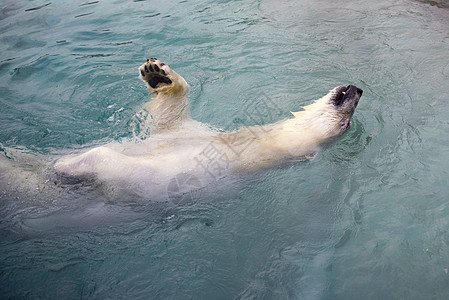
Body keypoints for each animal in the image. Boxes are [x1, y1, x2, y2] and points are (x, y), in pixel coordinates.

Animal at [53, 57, 360, 196]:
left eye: (345, 124)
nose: (358, 90)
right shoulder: (196, 134)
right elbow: (167, 120)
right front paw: (157, 74)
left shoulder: (176, 177)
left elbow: (114, 166)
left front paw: (64, 165)